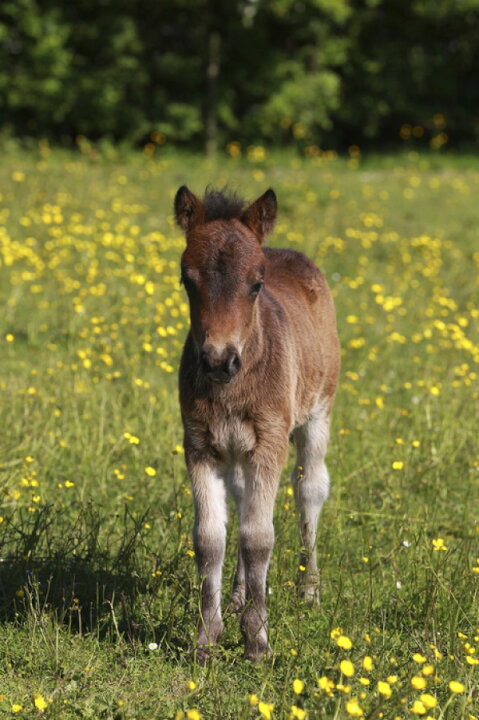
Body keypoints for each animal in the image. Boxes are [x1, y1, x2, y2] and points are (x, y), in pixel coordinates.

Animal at [175, 186, 340, 662]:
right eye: (187, 280)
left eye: (256, 284)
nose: (218, 360)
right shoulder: (200, 446)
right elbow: (210, 538)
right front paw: (207, 638)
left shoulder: (269, 444)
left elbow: (258, 537)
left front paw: (257, 641)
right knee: (243, 498)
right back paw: (237, 595)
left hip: (318, 412)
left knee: (309, 489)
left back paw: (309, 591)